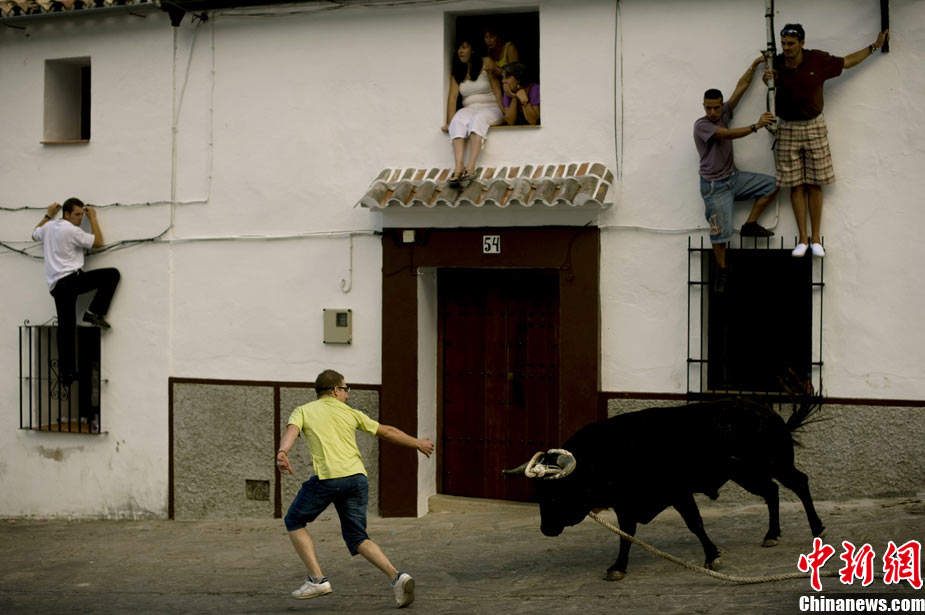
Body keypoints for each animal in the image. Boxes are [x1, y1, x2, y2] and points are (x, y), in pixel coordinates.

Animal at [502, 395, 826, 580]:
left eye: (556, 493)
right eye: (539, 494)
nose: (546, 529)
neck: (611, 454)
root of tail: (769, 413)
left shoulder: (678, 492)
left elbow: (695, 523)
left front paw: (712, 556)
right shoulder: (626, 504)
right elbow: (627, 535)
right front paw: (618, 566)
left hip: (775, 463)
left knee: (799, 483)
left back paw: (816, 528)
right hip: (747, 474)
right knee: (772, 491)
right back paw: (771, 534)